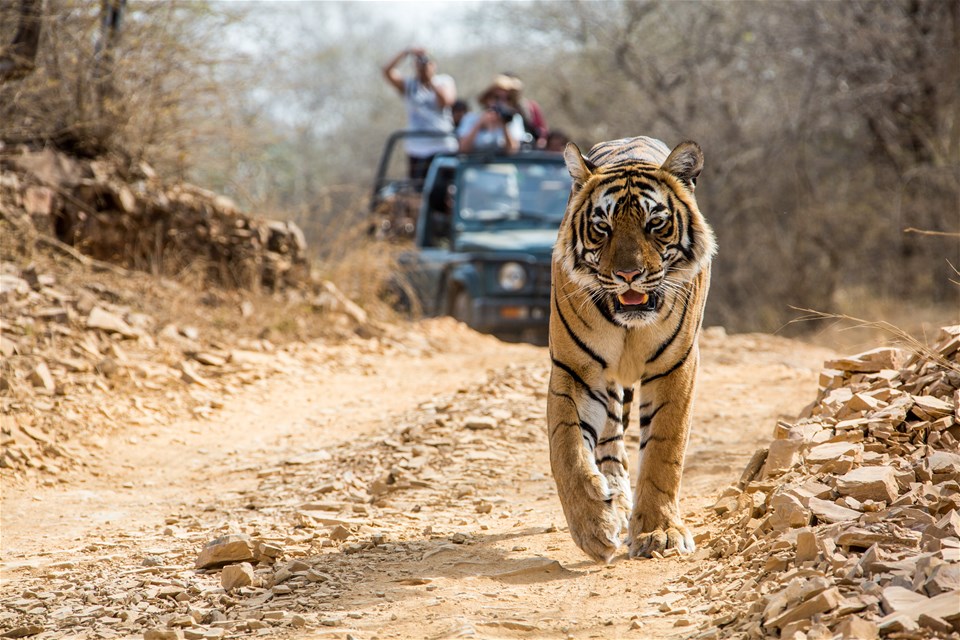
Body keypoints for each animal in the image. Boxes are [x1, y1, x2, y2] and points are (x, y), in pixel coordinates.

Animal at [544, 135, 716, 560]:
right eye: (602, 228)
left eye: (655, 224)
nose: (628, 275)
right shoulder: (575, 370)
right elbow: (567, 449)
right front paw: (593, 526)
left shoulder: (676, 366)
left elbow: (663, 453)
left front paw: (660, 533)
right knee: (609, 443)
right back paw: (615, 501)